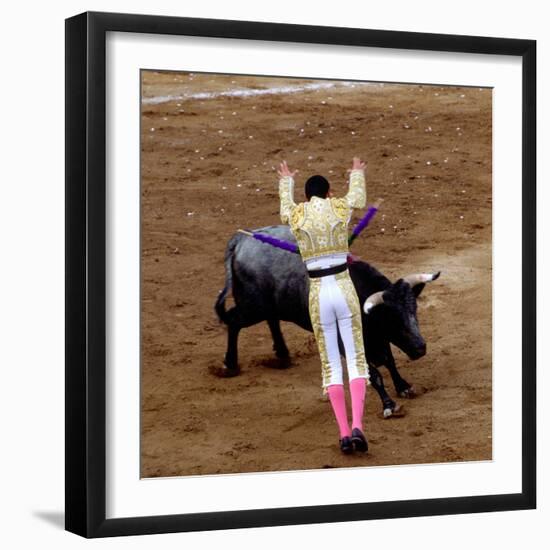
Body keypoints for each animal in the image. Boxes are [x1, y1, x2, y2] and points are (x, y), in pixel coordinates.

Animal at [213, 224, 442, 418]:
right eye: (391, 318)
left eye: (414, 310)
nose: (420, 348)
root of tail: (241, 240)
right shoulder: (347, 342)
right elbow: (373, 372)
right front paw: (389, 405)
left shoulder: (378, 337)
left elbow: (389, 361)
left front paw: (404, 386)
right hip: (253, 308)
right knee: (234, 321)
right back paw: (230, 365)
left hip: (267, 306)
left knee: (270, 320)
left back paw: (283, 356)